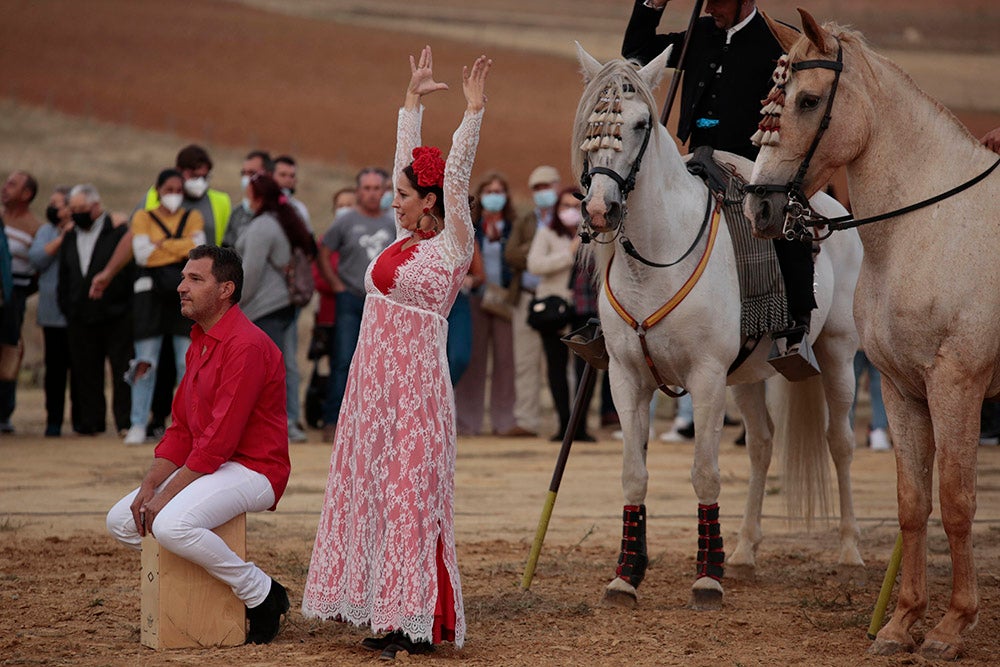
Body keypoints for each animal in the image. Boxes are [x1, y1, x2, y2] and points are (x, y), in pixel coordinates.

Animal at [580, 44, 868, 612]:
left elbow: (705, 473)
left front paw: (705, 578)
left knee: (840, 441)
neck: (658, 257)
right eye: (591, 126)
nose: (601, 209)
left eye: (641, 123)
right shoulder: (627, 378)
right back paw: (743, 552)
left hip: (838, 353)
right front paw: (626, 576)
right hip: (750, 377)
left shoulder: (707, 377)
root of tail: (830, 209)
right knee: (761, 446)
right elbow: (633, 475)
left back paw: (848, 551)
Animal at [748, 7, 1000, 660]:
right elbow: (913, 503)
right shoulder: (901, 387)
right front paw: (901, 621)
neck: (929, 226)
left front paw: (952, 626)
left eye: (808, 100)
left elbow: (957, 501)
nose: (760, 210)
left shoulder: (957, 385)